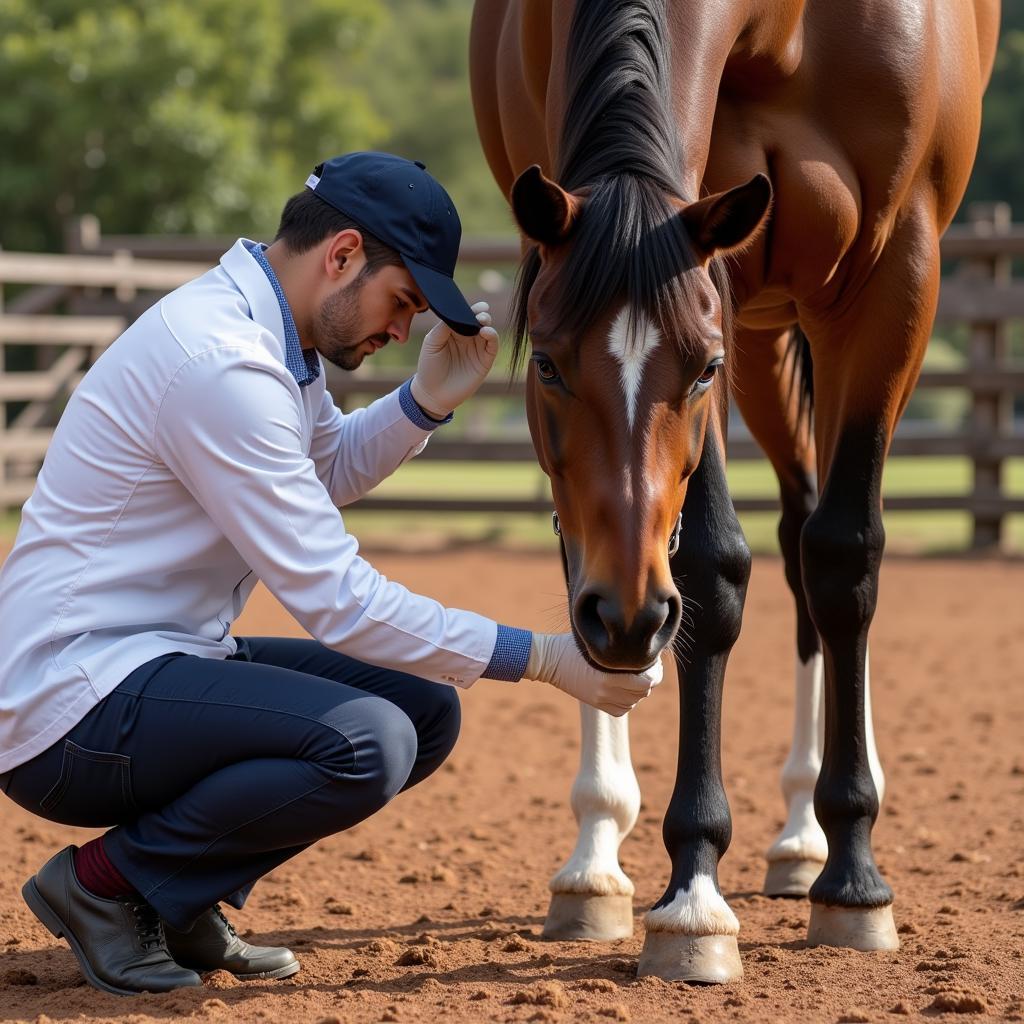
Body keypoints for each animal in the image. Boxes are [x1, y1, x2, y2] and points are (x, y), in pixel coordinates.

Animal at [471, 0, 999, 983]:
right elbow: (711, 570)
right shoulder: (721, 268)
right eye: (549, 364)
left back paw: (808, 835)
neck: (782, 25)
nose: (630, 618)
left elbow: (847, 557)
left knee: (809, 545)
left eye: (701, 367)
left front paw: (856, 877)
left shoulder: (892, 276)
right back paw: (599, 856)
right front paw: (693, 897)